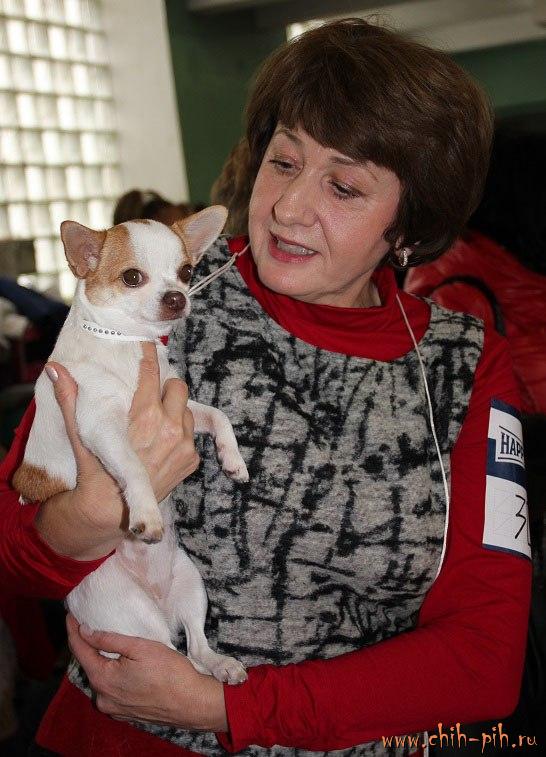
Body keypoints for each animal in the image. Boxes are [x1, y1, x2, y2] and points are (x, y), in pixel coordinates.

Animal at [13, 206, 248, 683]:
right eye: (132, 278)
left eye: (187, 271)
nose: (177, 297)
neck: (127, 344)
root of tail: (159, 605)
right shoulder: (100, 426)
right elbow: (134, 465)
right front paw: (145, 513)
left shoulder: (180, 409)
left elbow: (219, 415)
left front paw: (233, 460)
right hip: (128, 614)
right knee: (170, 660)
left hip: (189, 582)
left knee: (195, 647)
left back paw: (219, 666)